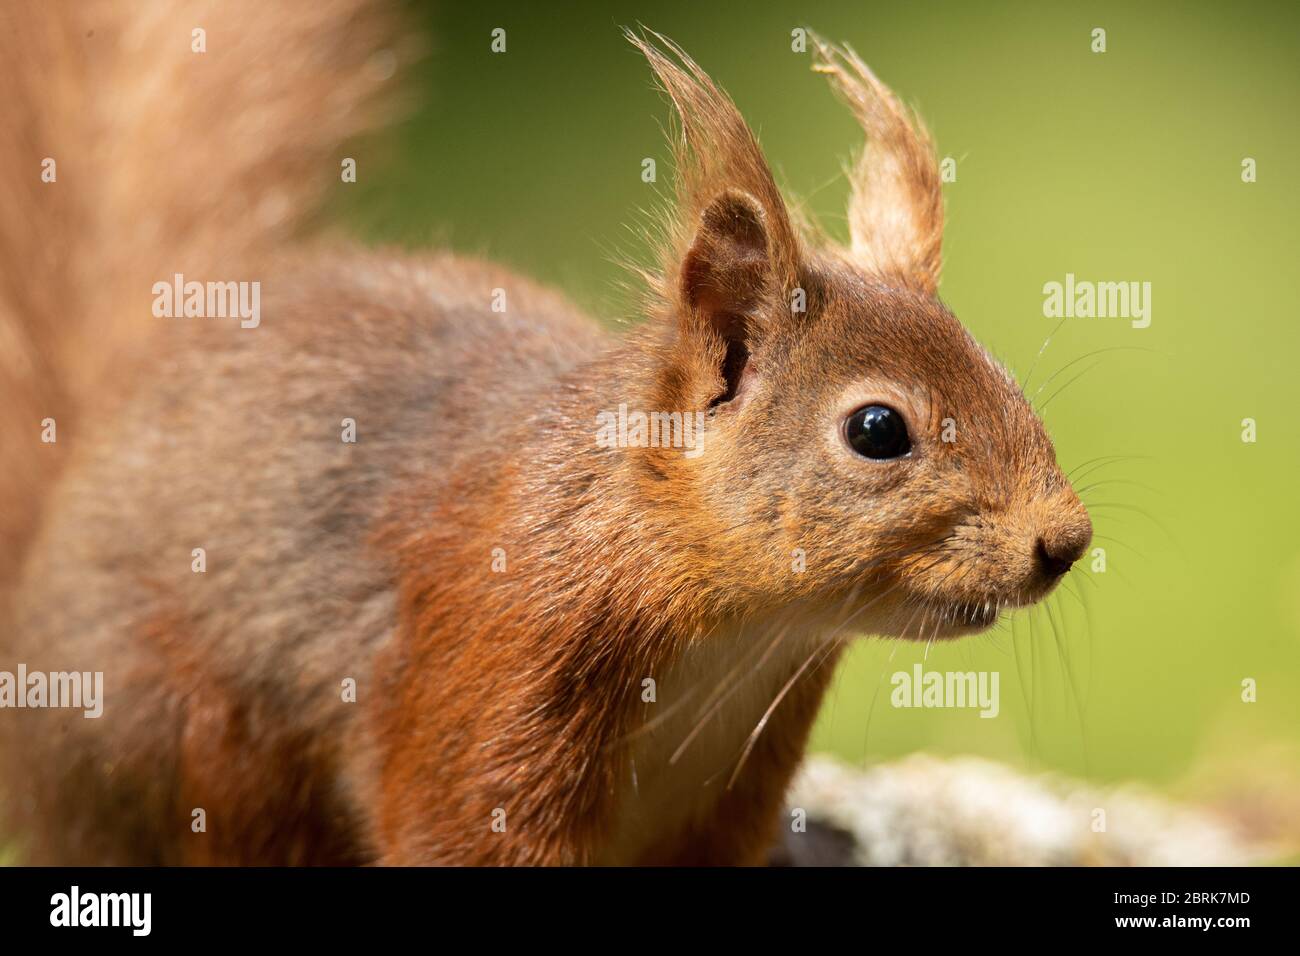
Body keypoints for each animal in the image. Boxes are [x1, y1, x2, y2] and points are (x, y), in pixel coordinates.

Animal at [2, 1, 1086, 868]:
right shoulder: (488, 670)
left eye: (1002, 373)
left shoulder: (730, 792)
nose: (1065, 541)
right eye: (876, 428)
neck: (738, 638)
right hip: (196, 756)